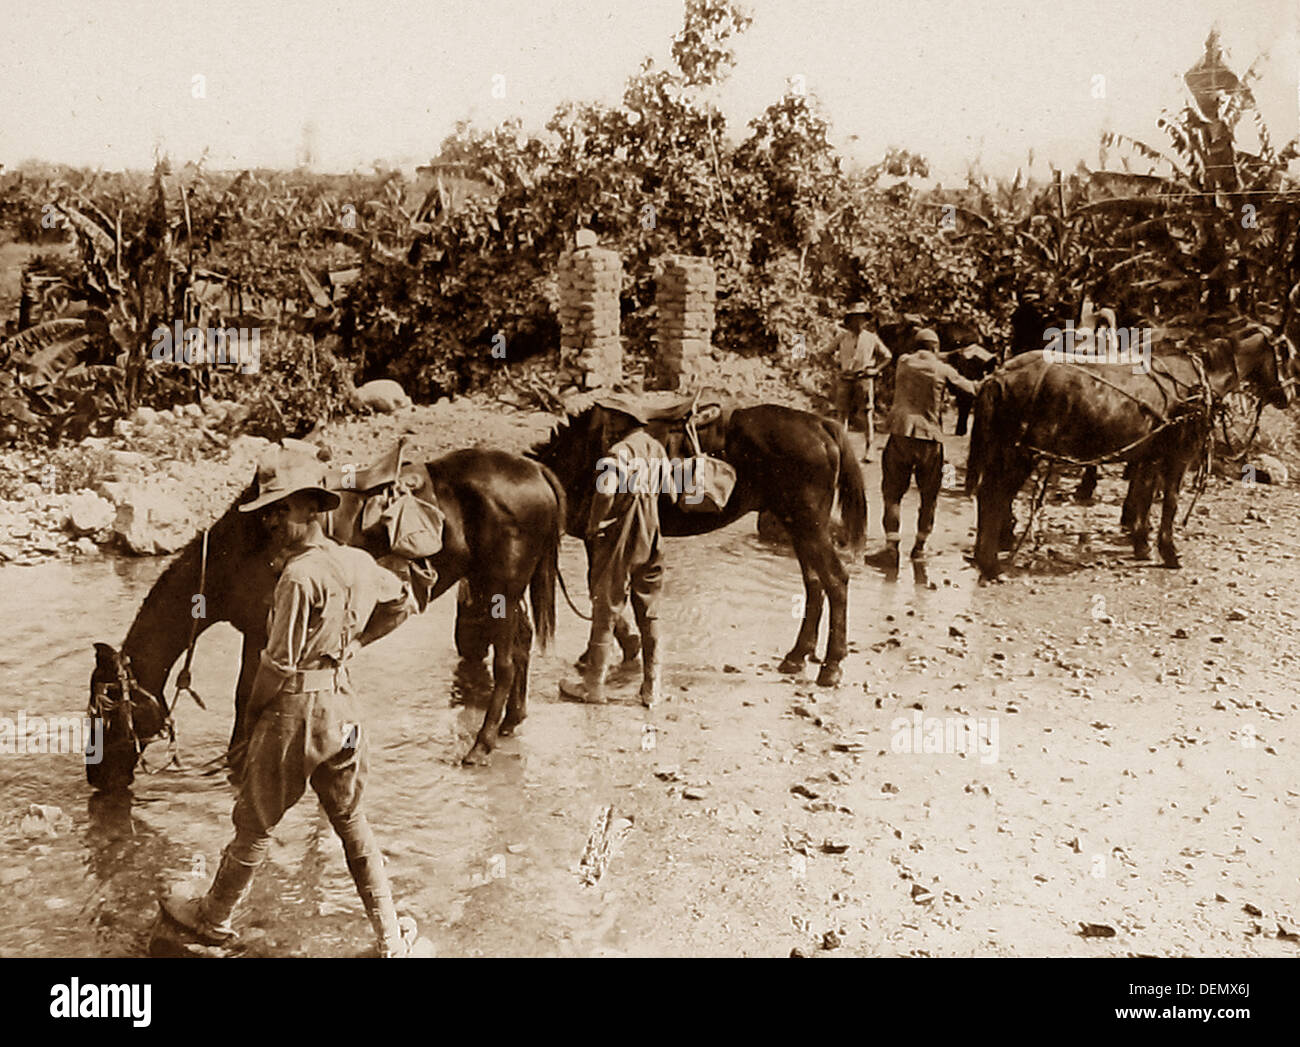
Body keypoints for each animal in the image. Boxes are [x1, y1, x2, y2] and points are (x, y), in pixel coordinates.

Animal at [85, 444, 564, 790]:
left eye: (105, 707)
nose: (97, 778)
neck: (242, 548)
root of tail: (535, 469)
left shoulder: (266, 629)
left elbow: (247, 695)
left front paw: (237, 767)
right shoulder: (257, 630)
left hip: (499, 585)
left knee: (505, 662)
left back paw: (480, 746)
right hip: (502, 589)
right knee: (522, 643)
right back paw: (512, 721)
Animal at [522, 400, 868, 686]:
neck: (583, 457)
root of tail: (820, 424)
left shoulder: (601, 534)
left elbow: (600, 588)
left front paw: (614, 650)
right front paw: (625, 646)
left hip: (809, 525)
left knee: (835, 581)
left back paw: (831, 666)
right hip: (799, 527)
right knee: (815, 584)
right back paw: (797, 656)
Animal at [967, 325, 1289, 580]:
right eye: (1286, 355)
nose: (1288, 397)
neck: (1198, 381)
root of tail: (999, 375)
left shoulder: (1148, 456)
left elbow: (1143, 498)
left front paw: (1141, 544)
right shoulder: (1178, 456)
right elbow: (1170, 502)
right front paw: (1169, 551)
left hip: (1003, 450)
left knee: (987, 495)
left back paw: (987, 555)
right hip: (1020, 454)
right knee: (995, 495)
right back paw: (991, 564)